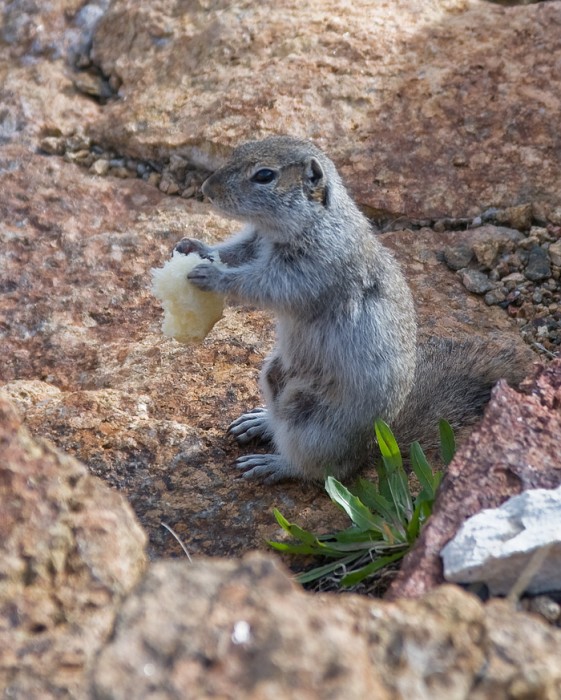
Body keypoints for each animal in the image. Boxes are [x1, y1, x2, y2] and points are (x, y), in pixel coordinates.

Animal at [176, 138, 528, 486]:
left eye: (264, 175)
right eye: (237, 149)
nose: (206, 189)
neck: (314, 221)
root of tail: (375, 448)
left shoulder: (312, 270)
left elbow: (263, 285)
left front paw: (213, 276)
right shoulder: (255, 241)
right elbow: (235, 252)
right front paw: (194, 247)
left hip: (310, 421)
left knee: (322, 471)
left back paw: (274, 464)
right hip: (274, 373)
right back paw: (260, 421)